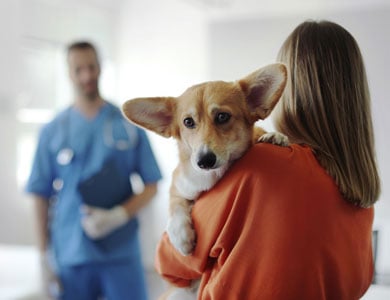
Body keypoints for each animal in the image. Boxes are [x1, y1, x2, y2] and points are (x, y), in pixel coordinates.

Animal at [123, 63, 288, 255]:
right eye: (188, 122)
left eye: (222, 116)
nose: (204, 161)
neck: (211, 176)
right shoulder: (178, 186)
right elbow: (175, 205)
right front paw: (180, 236)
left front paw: (276, 136)